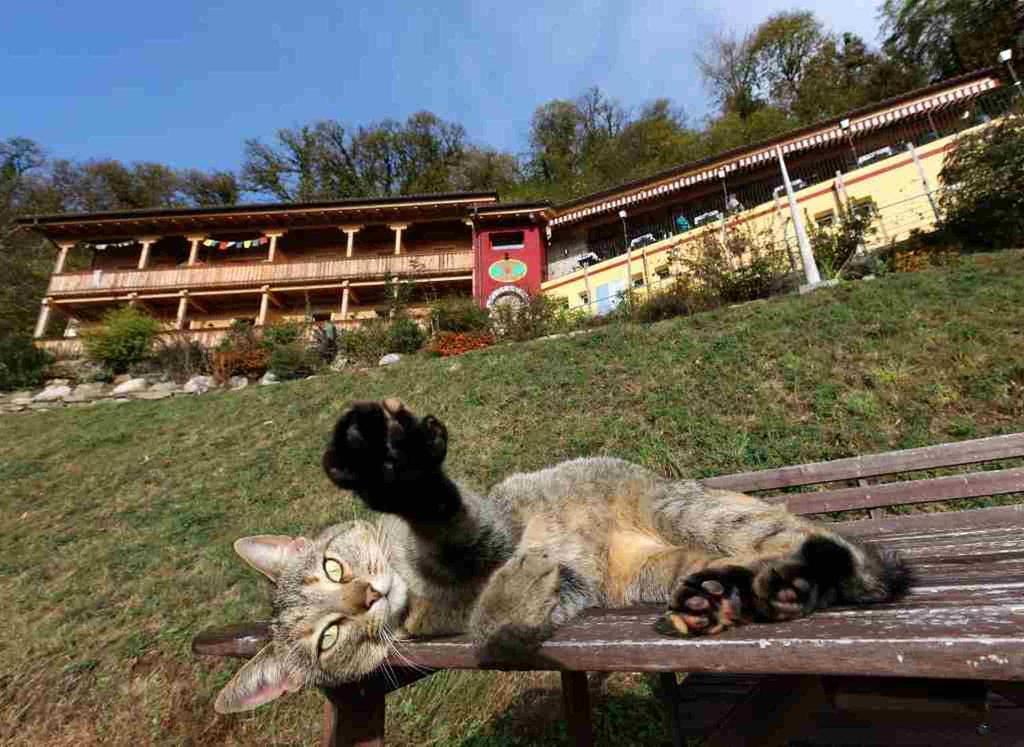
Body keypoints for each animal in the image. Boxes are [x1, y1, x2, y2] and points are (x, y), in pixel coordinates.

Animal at [211, 399, 909, 713]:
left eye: (335, 567)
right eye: (329, 636)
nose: (368, 596)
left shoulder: (489, 523)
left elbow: (457, 529)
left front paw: (397, 468)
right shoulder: (567, 587)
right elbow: (491, 627)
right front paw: (512, 598)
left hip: (696, 514)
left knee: (861, 563)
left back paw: (808, 578)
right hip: (663, 572)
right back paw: (726, 600)